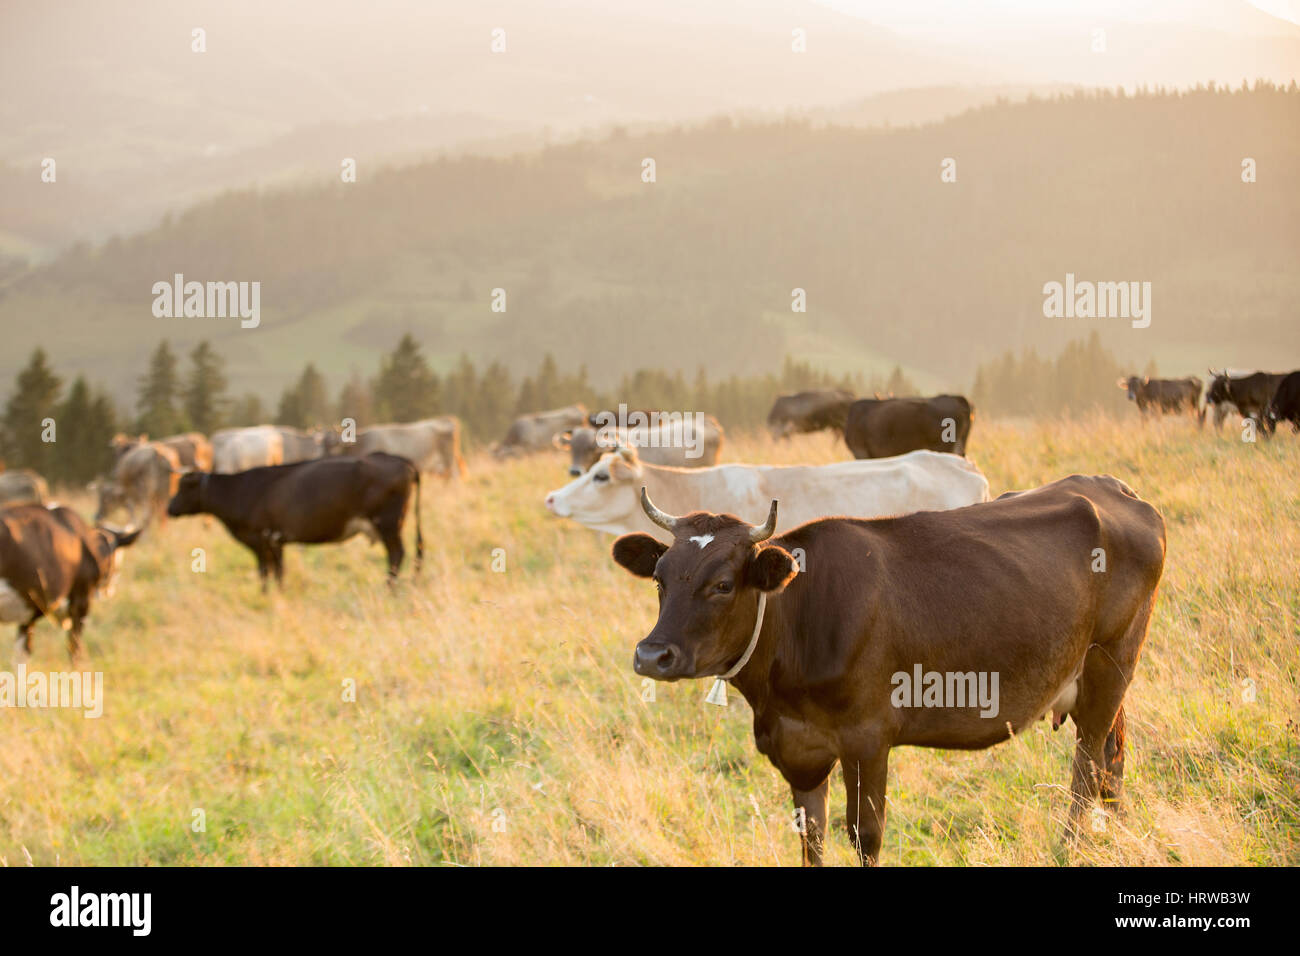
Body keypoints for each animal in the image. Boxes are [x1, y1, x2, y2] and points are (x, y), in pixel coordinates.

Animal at [166, 452, 423, 590]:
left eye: (184, 486)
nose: (169, 508)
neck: (240, 491)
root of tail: (399, 459)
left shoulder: (265, 539)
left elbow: (269, 572)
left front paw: (271, 594)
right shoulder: (272, 543)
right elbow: (274, 571)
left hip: (388, 524)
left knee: (396, 554)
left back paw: (389, 588)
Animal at [611, 474, 1165, 865]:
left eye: (723, 584)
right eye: (660, 578)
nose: (652, 655)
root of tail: (1111, 488)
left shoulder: (868, 738)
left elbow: (865, 835)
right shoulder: (798, 747)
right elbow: (811, 838)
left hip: (1112, 663)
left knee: (1087, 769)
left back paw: (1070, 849)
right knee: (1113, 760)